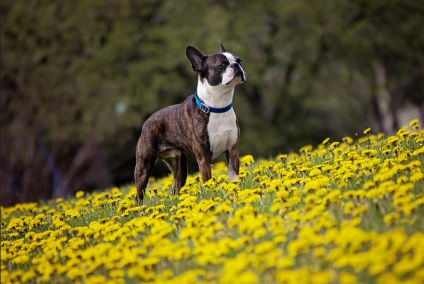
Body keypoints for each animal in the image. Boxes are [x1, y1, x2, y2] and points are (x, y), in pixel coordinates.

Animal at [134, 43, 247, 201]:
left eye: (239, 60)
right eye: (221, 64)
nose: (236, 65)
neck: (218, 107)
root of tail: (146, 122)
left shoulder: (233, 150)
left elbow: (234, 176)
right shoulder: (204, 158)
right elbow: (208, 180)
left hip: (179, 166)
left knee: (176, 188)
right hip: (144, 166)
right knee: (139, 193)